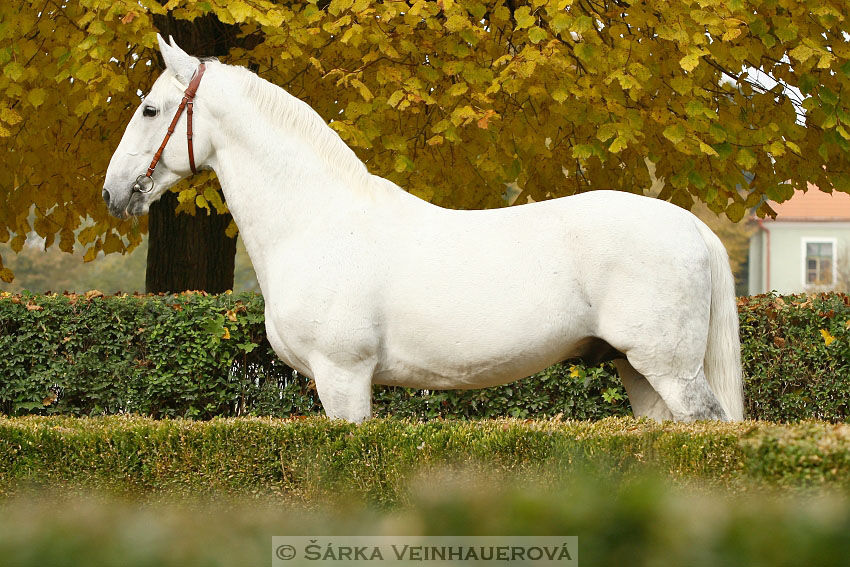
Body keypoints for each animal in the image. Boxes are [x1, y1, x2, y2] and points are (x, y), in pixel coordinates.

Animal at [104, 36, 744, 422]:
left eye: (151, 110)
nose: (114, 191)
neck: (316, 223)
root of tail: (690, 226)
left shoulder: (343, 379)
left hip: (669, 370)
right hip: (638, 372)